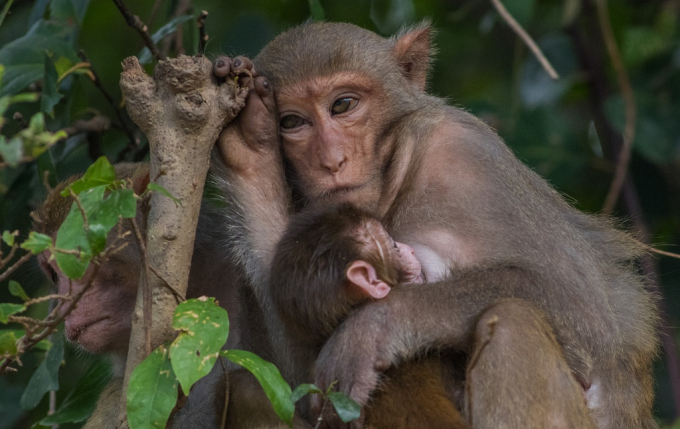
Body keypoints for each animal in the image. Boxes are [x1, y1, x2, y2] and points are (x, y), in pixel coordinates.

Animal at [212, 20, 660, 428]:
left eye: (342, 105)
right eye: (291, 123)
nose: (331, 161)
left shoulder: (466, 153)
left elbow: (581, 308)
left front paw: (373, 328)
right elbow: (299, 383)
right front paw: (250, 145)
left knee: (513, 320)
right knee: (244, 386)